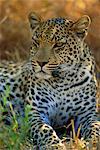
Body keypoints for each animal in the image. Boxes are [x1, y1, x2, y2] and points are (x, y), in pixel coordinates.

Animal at [0, 12, 99, 149]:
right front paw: (55, 146)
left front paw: (94, 143)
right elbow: (45, 130)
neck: (63, 81)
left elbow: (96, 127)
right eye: (37, 42)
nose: (40, 62)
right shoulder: (35, 112)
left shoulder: (87, 114)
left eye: (58, 45)